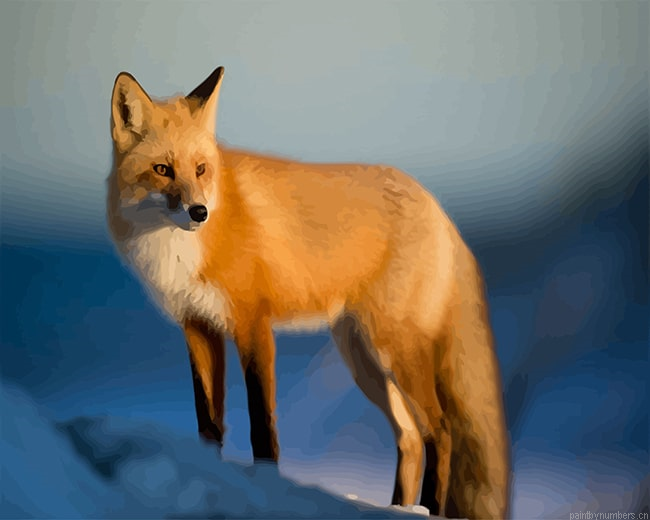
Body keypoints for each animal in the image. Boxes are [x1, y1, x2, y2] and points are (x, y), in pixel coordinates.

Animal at [107, 66, 511, 519]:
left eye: (200, 169)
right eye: (162, 169)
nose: (199, 213)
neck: (180, 250)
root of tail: (436, 206)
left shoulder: (253, 324)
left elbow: (262, 425)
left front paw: (268, 485)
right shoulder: (198, 328)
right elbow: (208, 423)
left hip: (397, 351)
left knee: (440, 432)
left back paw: (429, 510)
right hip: (364, 361)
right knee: (409, 440)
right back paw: (398, 508)